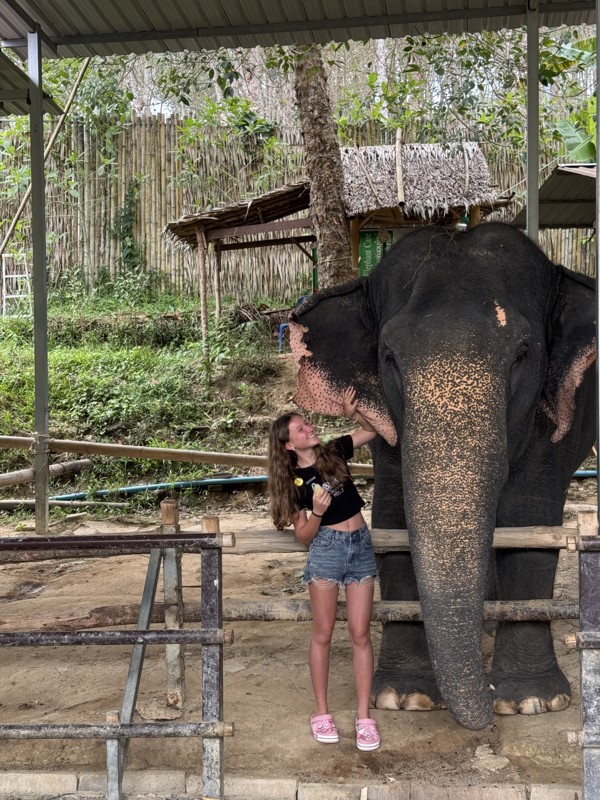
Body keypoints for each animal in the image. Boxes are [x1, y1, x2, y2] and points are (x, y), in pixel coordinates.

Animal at [288, 220, 596, 732]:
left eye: (522, 353)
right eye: (388, 356)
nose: (486, 697)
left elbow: (530, 521)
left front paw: (530, 700)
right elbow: (392, 519)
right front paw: (403, 696)